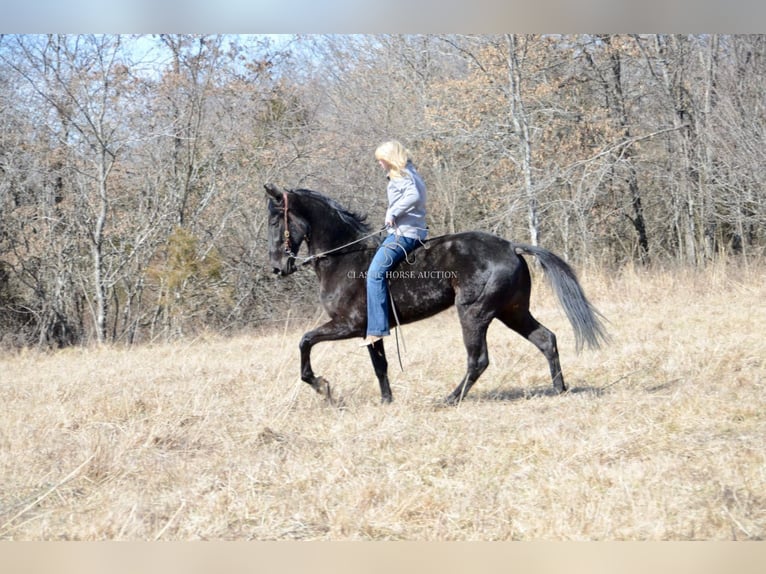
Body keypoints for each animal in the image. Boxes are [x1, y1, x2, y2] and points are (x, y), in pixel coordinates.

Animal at [268, 184, 608, 404]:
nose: (277, 267)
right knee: (546, 339)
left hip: (474, 313)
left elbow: (305, 341)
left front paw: (323, 387)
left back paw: (449, 399)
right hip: (512, 311)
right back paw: (559, 389)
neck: (343, 258)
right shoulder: (370, 330)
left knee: (478, 360)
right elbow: (380, 366)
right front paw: (387, 401)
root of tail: (511, 247)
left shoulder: (348, 325)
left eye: (274, 220)